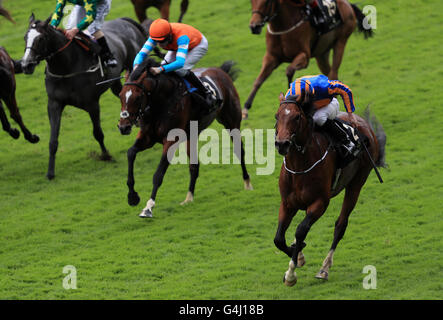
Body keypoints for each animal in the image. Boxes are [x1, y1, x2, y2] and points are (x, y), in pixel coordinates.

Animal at [21, 14, 147, 180]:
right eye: (25, 37)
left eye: (40, 38)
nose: (25, 65)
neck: (67, 66)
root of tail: (125, 20)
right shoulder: (54, 103)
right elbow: (53, 140)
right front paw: (50, 172)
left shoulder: (92, 104)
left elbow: (97, 133)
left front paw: (106, 155)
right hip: (116, 82)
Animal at [117, 57, 253, 218]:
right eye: (120, 95)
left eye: (137, 97)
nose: (123, 127)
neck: (161, 103)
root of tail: (220, 70)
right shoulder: (147, 137)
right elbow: (131, 152)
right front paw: (132, 197)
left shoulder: (171, 140)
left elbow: (158, 174)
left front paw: (148, 207)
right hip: (191, 134)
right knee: (194, 166)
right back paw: (188, 198)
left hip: (232, 121)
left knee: (240, 151)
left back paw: (247, 183)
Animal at [274, 92, 386, 284]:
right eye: (277, 116)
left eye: (297, 117)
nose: (282, 144)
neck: (299, 167)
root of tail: (364, 124)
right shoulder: (287, 203)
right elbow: (279, 239)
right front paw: (299, 255)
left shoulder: (320, 203)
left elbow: (301, 230)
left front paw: (291, 273)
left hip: (356, 184)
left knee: (341, 225)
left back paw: (324, 268)